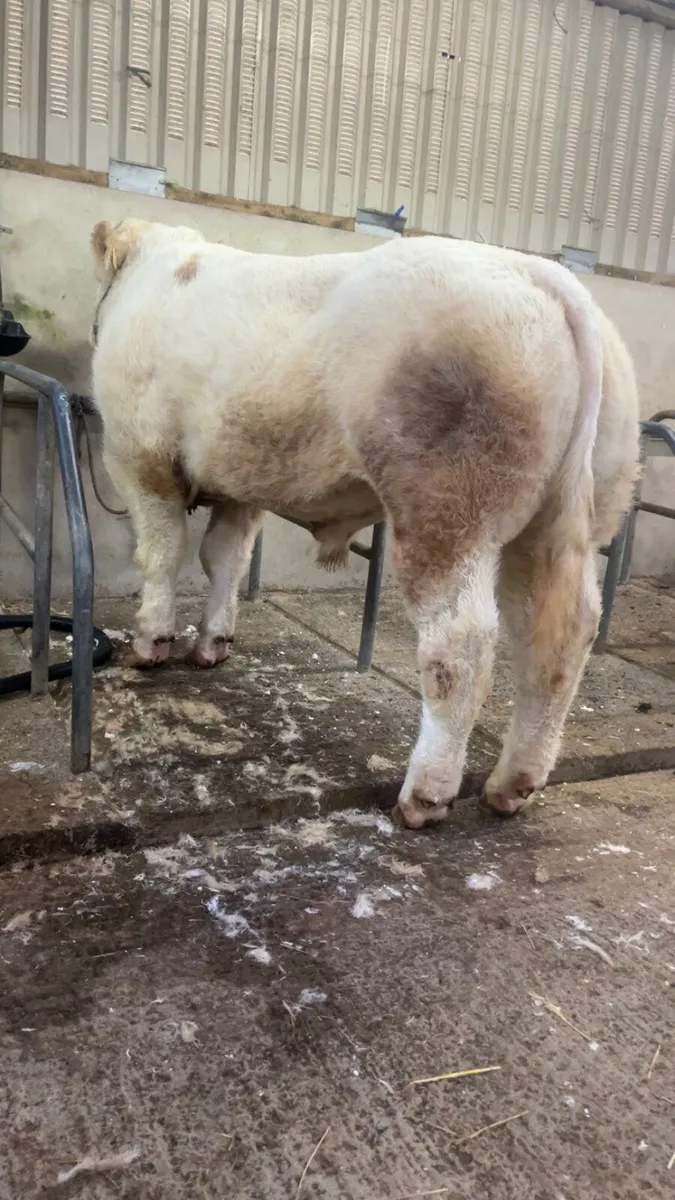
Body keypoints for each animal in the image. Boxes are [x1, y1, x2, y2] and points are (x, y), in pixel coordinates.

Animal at [90, 219, 640, 829]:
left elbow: (160, 553)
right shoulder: (241, 481)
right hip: (567, 517)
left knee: (462, 645)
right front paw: (213, 643)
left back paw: (425, 795)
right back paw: (512, 783)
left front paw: (150, 643)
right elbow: (224, 558)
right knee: (560, 639)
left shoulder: (139, 457)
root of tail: (541, 274)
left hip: (446, 508)